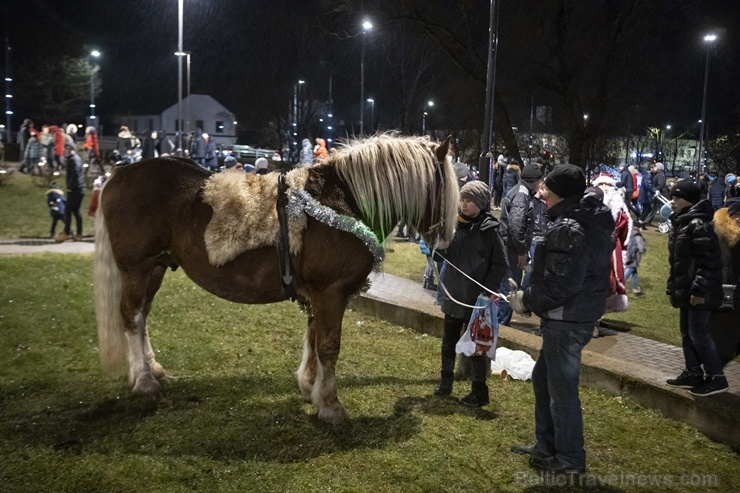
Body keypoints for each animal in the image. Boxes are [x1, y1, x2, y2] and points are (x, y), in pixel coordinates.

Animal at [94, 134, 456, 422]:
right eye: (444, 187)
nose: (445, 244)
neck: (344, 200)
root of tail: (118, 174)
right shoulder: (332, 291)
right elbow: (328, 345)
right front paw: (330, 405)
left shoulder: (318, 293)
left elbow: (313, 338)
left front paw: (310, 387)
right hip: (136, 268)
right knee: (132, 317)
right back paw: (143, 380)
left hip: (155, 268)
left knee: (142, 317)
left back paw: (152, 369)